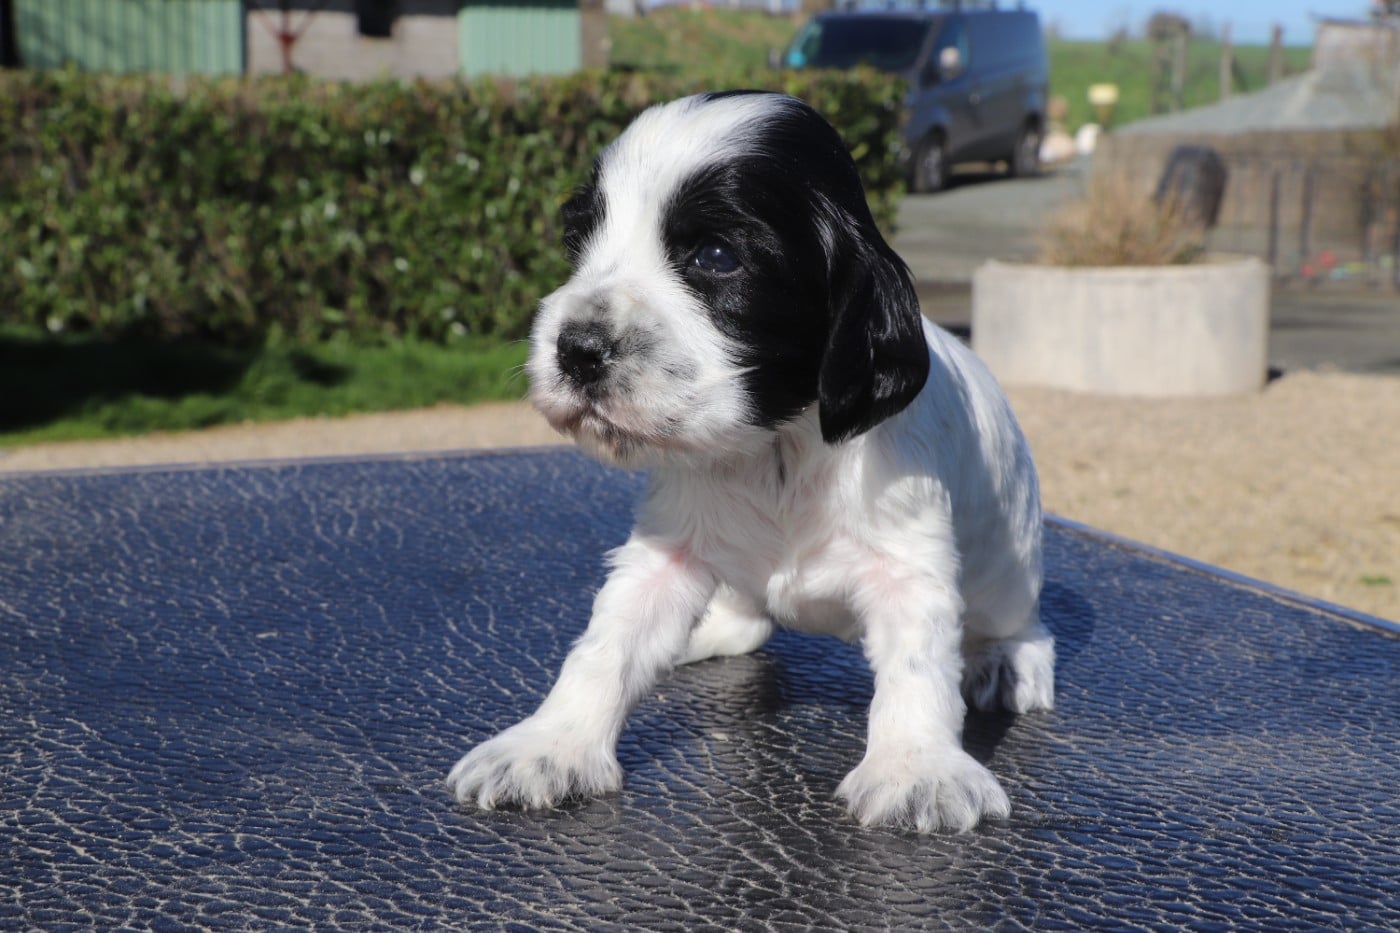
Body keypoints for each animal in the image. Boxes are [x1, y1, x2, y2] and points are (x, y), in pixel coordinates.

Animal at [446, 91, 1054, 833]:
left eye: (715, 255)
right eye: (577, 242)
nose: (576, 350)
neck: (774, 445)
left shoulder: (907, 563)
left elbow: (917, 665)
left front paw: (919, 770)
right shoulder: (664, 553)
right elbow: (605, 646)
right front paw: (547, 746)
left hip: (1009, 564)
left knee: (1019, 621)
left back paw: (1009, 661)